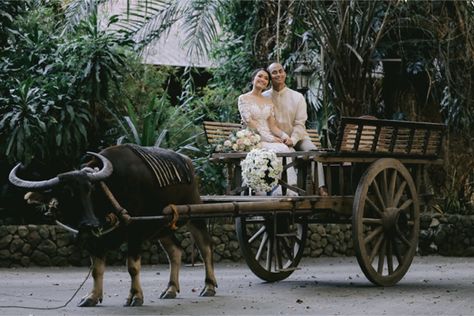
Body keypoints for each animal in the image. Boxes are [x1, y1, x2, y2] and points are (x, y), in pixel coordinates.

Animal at [8, 145, 217, 306]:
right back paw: (171, 289)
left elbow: (132, 266)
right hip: (161, 226)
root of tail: (187, 162)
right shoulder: (94, 239)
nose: (90, 223)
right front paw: (92, 297)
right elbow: (97, 269)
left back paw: (209, 286)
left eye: (90, 190)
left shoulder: (134, 231)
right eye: (66, 193)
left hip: (195, 214)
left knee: (205, 247)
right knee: (175, 251)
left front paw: (135, 296)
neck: (110, 192)